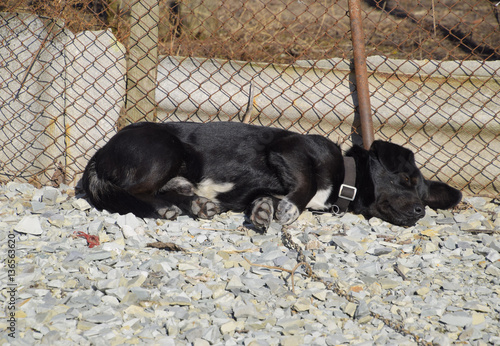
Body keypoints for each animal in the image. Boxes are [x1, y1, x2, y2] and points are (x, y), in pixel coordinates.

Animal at [81, 121, 460, 230]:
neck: (345, 179)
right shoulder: (289, 148)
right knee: (135, 191)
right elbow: (306, 182)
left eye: (424, 197)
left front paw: (265, 208)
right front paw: (290, 209)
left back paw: (197, 203)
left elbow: (266, 199)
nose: (420, 211)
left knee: (168, 189)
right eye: (405, 180)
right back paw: (166, 207)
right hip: (165, 150)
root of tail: (100, 154)